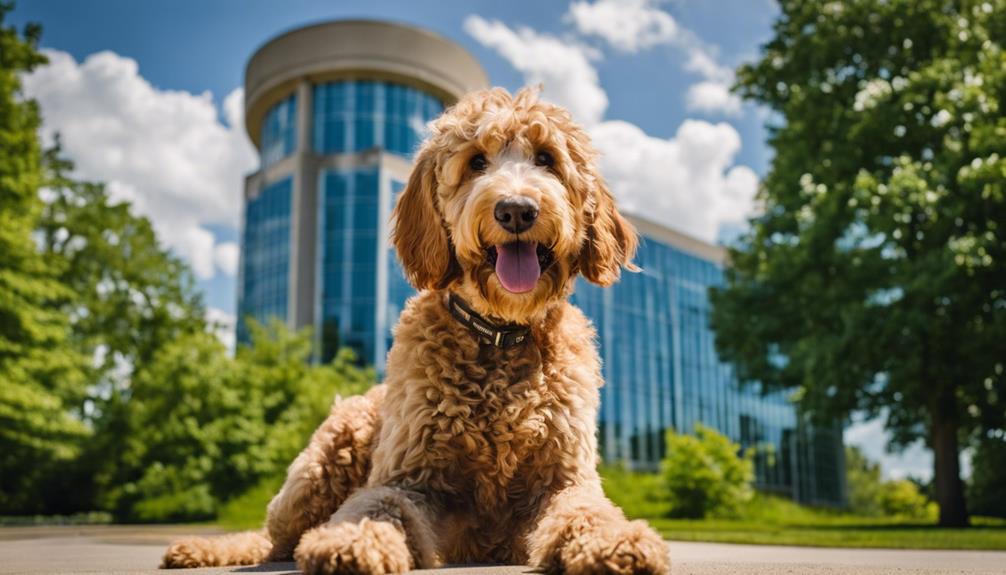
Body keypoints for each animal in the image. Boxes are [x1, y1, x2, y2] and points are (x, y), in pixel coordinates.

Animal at [162, 86, 667, 575]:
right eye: (476, 162)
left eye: (546, 158)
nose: (516, 210)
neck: (499, 335)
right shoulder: (410, 475)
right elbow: (381, 505)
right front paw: (351, 541)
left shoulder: (564, 476)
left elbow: (588, 510)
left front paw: (616, 541)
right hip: (322, 462)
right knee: (271, 543)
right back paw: (205, 549)